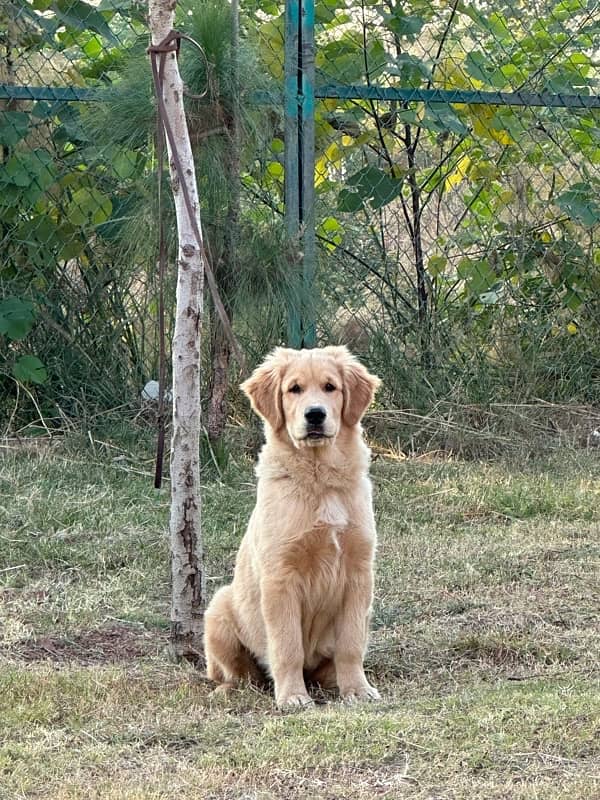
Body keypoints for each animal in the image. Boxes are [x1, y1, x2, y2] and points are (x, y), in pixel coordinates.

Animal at [202, 344, 380, 708]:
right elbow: (287, 646)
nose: (315, 415)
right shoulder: (280, 577)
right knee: (239, 674)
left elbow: (351, 643)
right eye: (294, 389)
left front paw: (357, 689)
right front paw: (293, 697)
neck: (320, 477)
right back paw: (227, 690)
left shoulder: (358, 572)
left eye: (330, 387)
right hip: (219, 608)